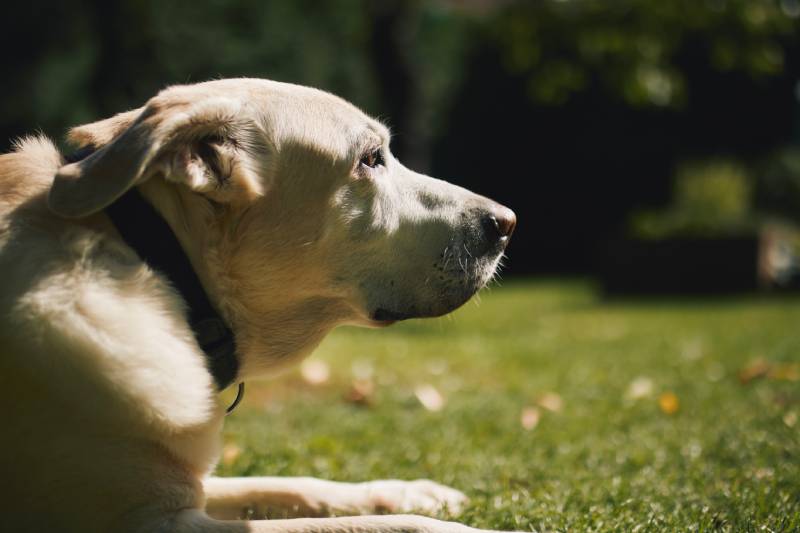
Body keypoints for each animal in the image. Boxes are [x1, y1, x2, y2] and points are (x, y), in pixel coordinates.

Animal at [0, 77, 520, 528]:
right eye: (370, 159)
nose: (507, 222)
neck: (160, 260)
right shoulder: (158, 521)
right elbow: (393, 527)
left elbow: (293, 484)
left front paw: (406, 490)